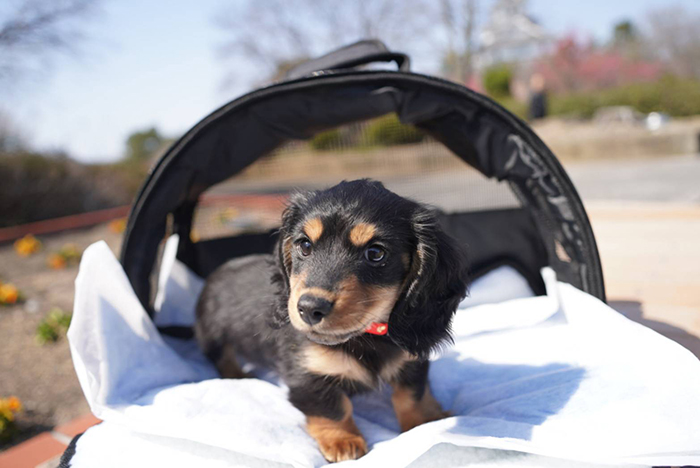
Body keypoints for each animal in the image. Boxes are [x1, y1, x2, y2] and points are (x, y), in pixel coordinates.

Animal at [195, 179, 468, 462]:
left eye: (376, 253)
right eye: (305, 245)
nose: (309, 308)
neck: (366, 335)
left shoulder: (411, 361)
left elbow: (411, 394)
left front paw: (426, 420)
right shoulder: (306, 375)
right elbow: (334, 408)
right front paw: (343, 440)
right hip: (212, 333)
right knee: (221, 356)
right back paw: (237, 375)